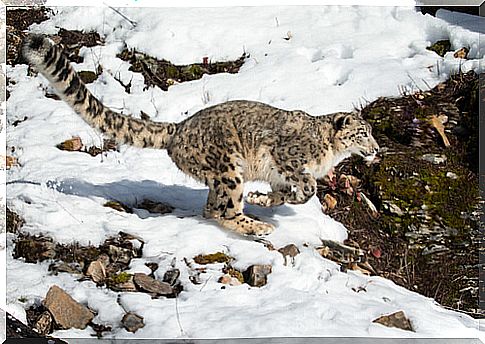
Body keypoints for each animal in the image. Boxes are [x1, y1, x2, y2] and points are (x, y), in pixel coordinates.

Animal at [21, 34, 378, 236]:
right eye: (363, 133)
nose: (376, 149)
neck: (330, 153)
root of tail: (179, 128)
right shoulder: (287, 157)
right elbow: (308, 187)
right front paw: (284, 198)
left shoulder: (278, 176)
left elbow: (281, 193)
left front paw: (263, 198)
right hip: (229, 168)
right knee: (227, 210)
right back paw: (256, 227)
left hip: (219, 176)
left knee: (212, 209)